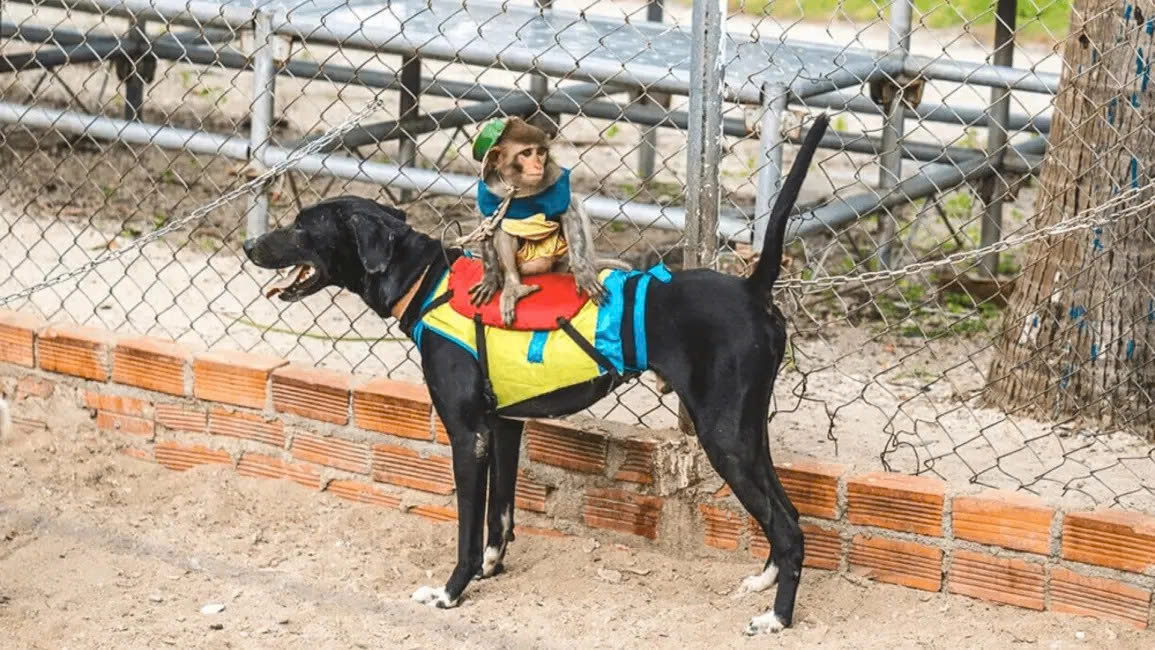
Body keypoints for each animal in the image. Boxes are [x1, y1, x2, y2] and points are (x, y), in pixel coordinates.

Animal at [467, 117, 628, 327]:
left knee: (576, 203)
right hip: (524, 265)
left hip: (557, 259)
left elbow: (569, 212)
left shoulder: (553, 175)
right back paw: (513, 287)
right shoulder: (492, 187)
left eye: (541, 152)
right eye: (527, 153)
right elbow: (486, 222)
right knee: (503, 225)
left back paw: (577, 269)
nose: (538, 166)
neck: (520, 186)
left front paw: (583, 275)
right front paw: (490, 278)